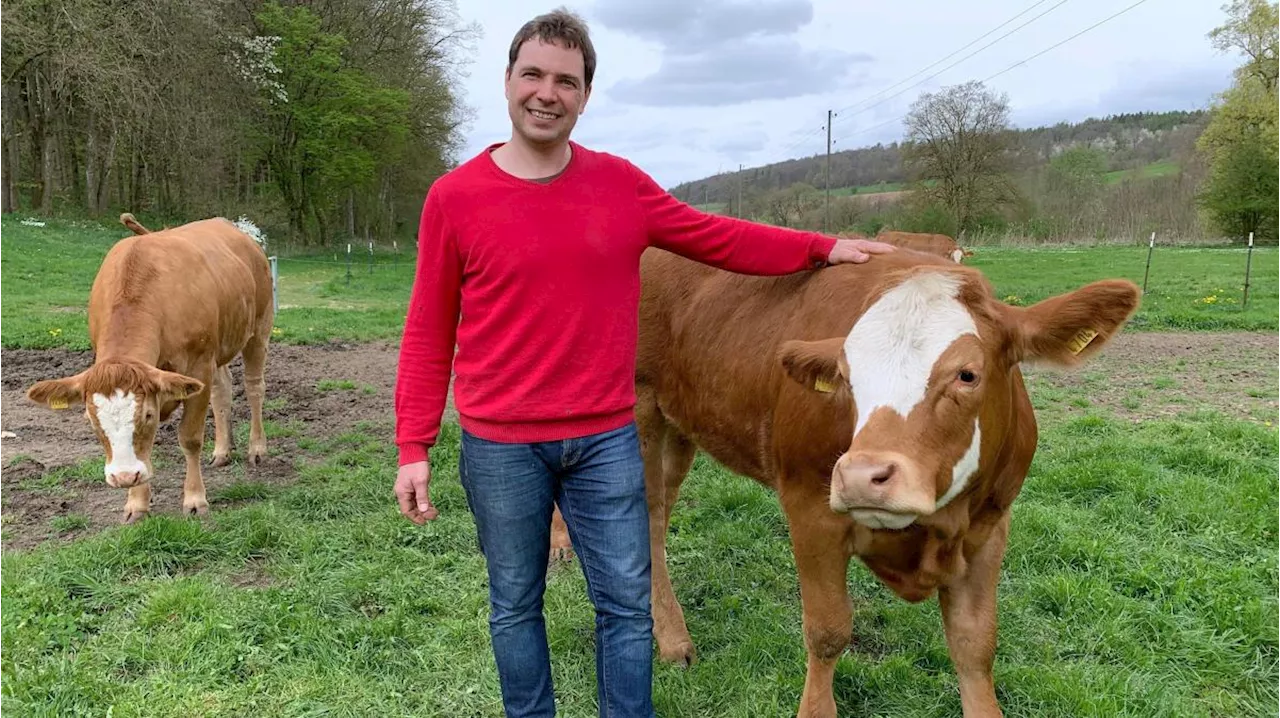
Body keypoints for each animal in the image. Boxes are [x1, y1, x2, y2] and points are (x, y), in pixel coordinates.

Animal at [24, 212, 272, 519]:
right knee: (222, 390)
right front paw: (136, 503)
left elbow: (190, 438)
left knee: (254, 387)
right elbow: (145, 449)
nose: (122, 477)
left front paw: (195, 499)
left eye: (148, 415)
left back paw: (257, 448)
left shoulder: (199, 365)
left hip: (259, 328)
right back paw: (222, 450)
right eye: (91, 421)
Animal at [550, 244, 1141, 711]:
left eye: (967, 374)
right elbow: (829, 631)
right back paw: (662, 632)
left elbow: (975, 646)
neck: (935, 530)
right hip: (636, 412)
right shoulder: (810, 506)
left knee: (657, 514)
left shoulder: (992, 523)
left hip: (681, 426)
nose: (861, 476)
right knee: (638, 516)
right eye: (845, 377)